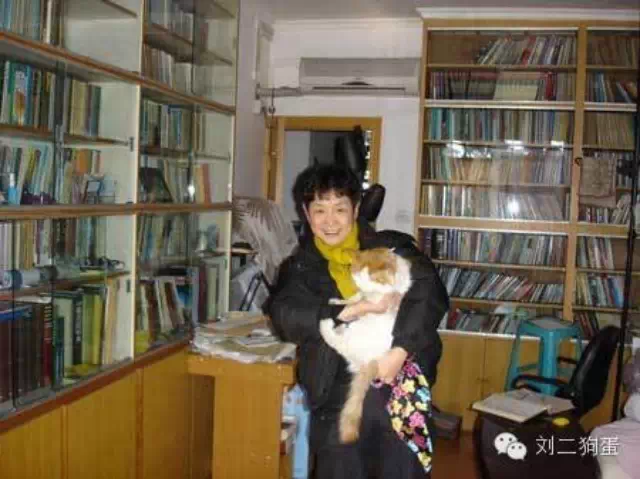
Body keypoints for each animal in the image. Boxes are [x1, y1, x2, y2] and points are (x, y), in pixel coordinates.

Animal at [319, 247, 413, 443]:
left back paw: (326, 325)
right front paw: (340, 301)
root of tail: (371, 361)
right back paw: (339, 325)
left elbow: (368, 299)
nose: (362, 287)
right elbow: (354, 299)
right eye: (357, 277)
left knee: (336, 342)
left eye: (370, 279)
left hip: (353, 335)